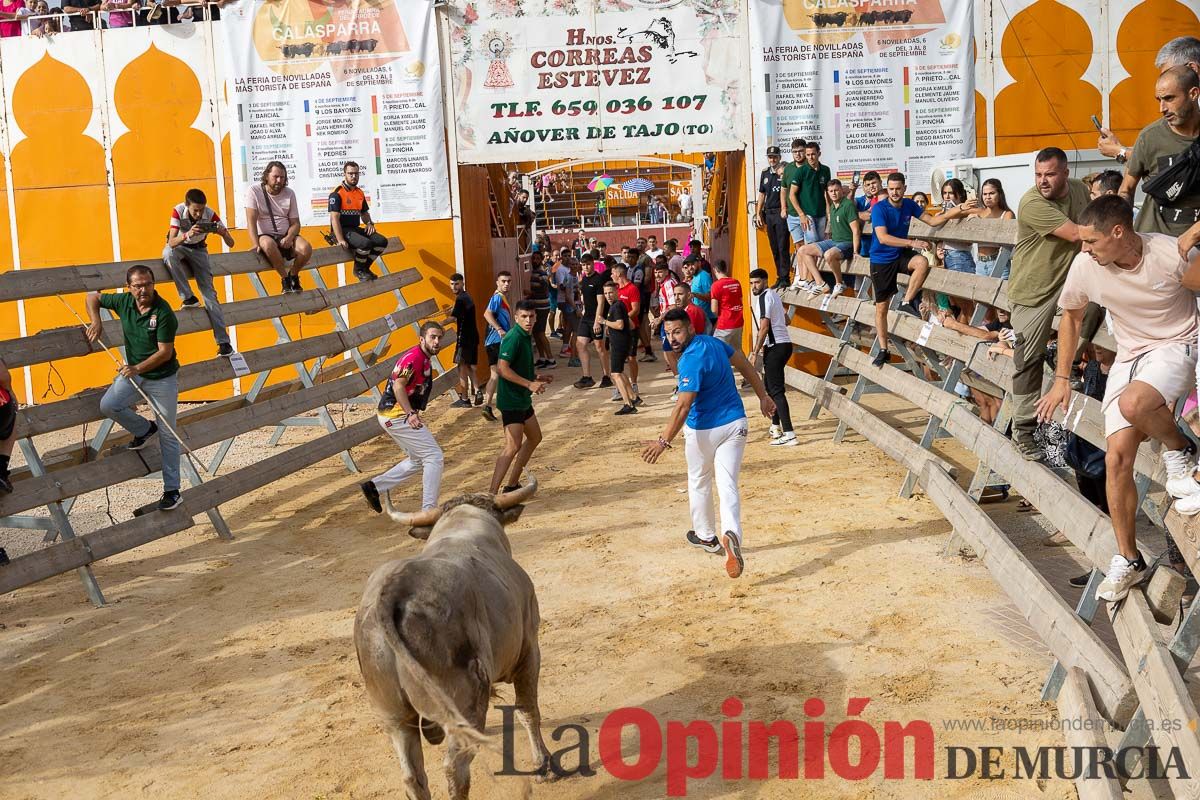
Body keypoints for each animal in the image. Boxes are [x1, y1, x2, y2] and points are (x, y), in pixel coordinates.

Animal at [350, 479, 549, 796]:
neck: (463, 524)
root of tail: (393, 592)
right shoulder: (529, 649)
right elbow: (528, 708)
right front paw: (543, 764)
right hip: (465, 695)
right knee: (455, 765)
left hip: (393, 715)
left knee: (412, 775)